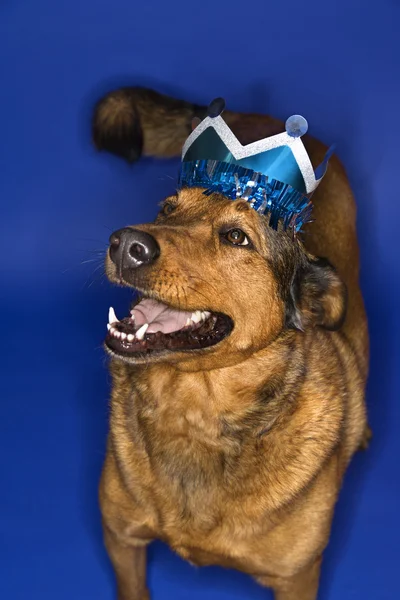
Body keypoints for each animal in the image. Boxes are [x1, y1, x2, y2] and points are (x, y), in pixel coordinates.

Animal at [92, 85, 370, 600]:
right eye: (167, 209)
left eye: (237, 237)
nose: (124, 244)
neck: (192, 409)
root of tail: (258, 114)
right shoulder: (121, 539)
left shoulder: (297, 578)